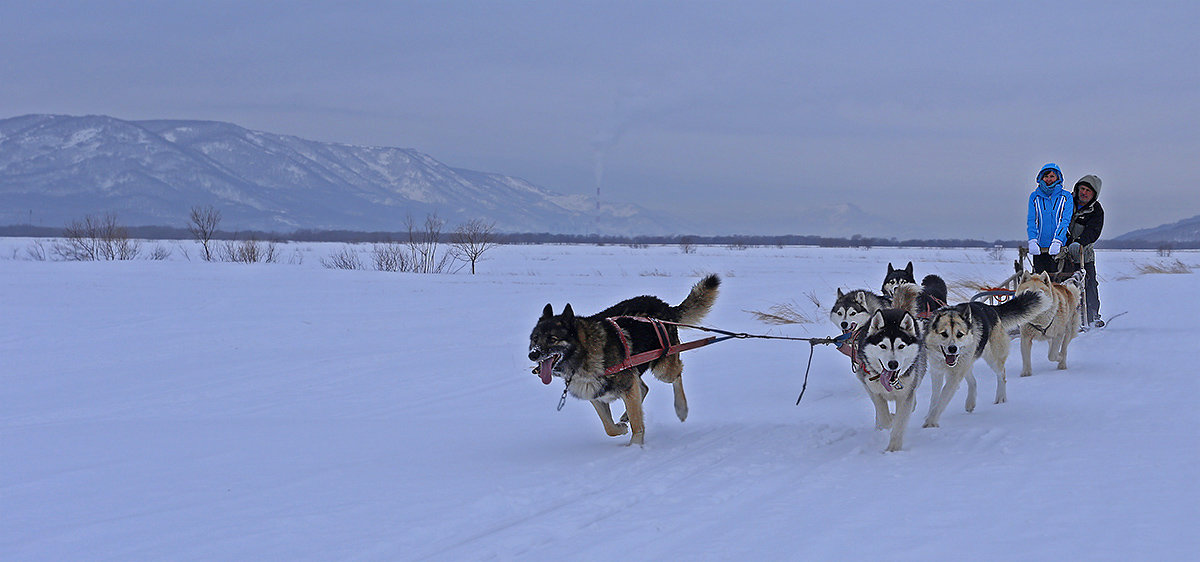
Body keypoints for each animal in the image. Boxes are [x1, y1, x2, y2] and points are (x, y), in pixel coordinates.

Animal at [528, 274, 715, 446]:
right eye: (535, 339)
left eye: (553, 339)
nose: (533, 354)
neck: (584, 355)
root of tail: (665, 306)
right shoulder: (596, 395)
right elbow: (609, 427)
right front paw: (622, 428)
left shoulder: (627, 387)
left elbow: (637, 424)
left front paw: (635, 447)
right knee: (644, 388)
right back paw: (626, 415)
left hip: (662, 368)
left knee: (677, 374)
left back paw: (681, 408)